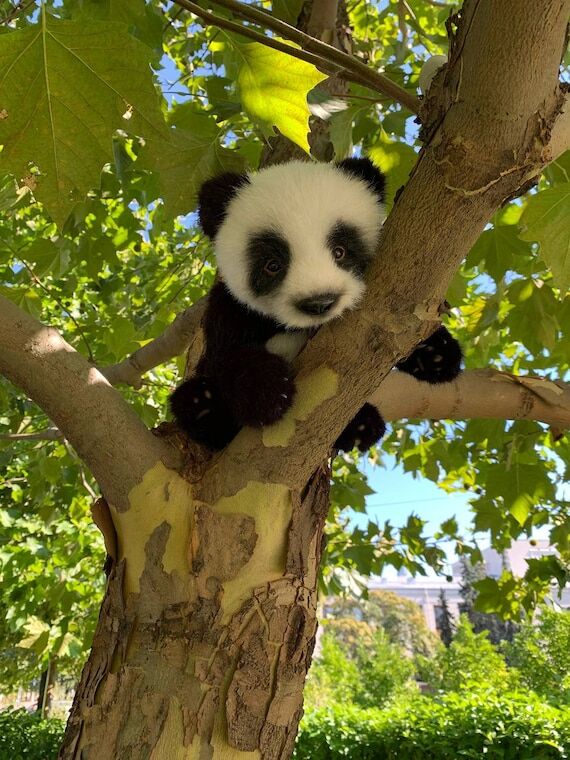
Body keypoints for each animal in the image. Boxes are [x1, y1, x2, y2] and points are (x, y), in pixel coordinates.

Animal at [170, 157, 462, 452]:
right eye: (272, 265)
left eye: (340, 251)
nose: (319, 303)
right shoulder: (230, 310)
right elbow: (225, 357)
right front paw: (265, 391)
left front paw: (435, 353)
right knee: (193, 403)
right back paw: (203, 407)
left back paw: (362, 426)